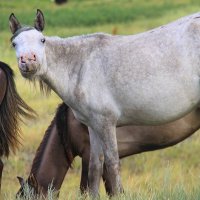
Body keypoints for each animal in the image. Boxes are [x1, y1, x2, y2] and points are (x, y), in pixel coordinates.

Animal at [9, 10, 200, 196]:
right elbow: (95, 169)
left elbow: (112, 164)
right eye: (14, 43)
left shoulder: (106, 123)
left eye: (42, 40)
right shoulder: (94, 127)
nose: (28, 60)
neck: (80, 66)